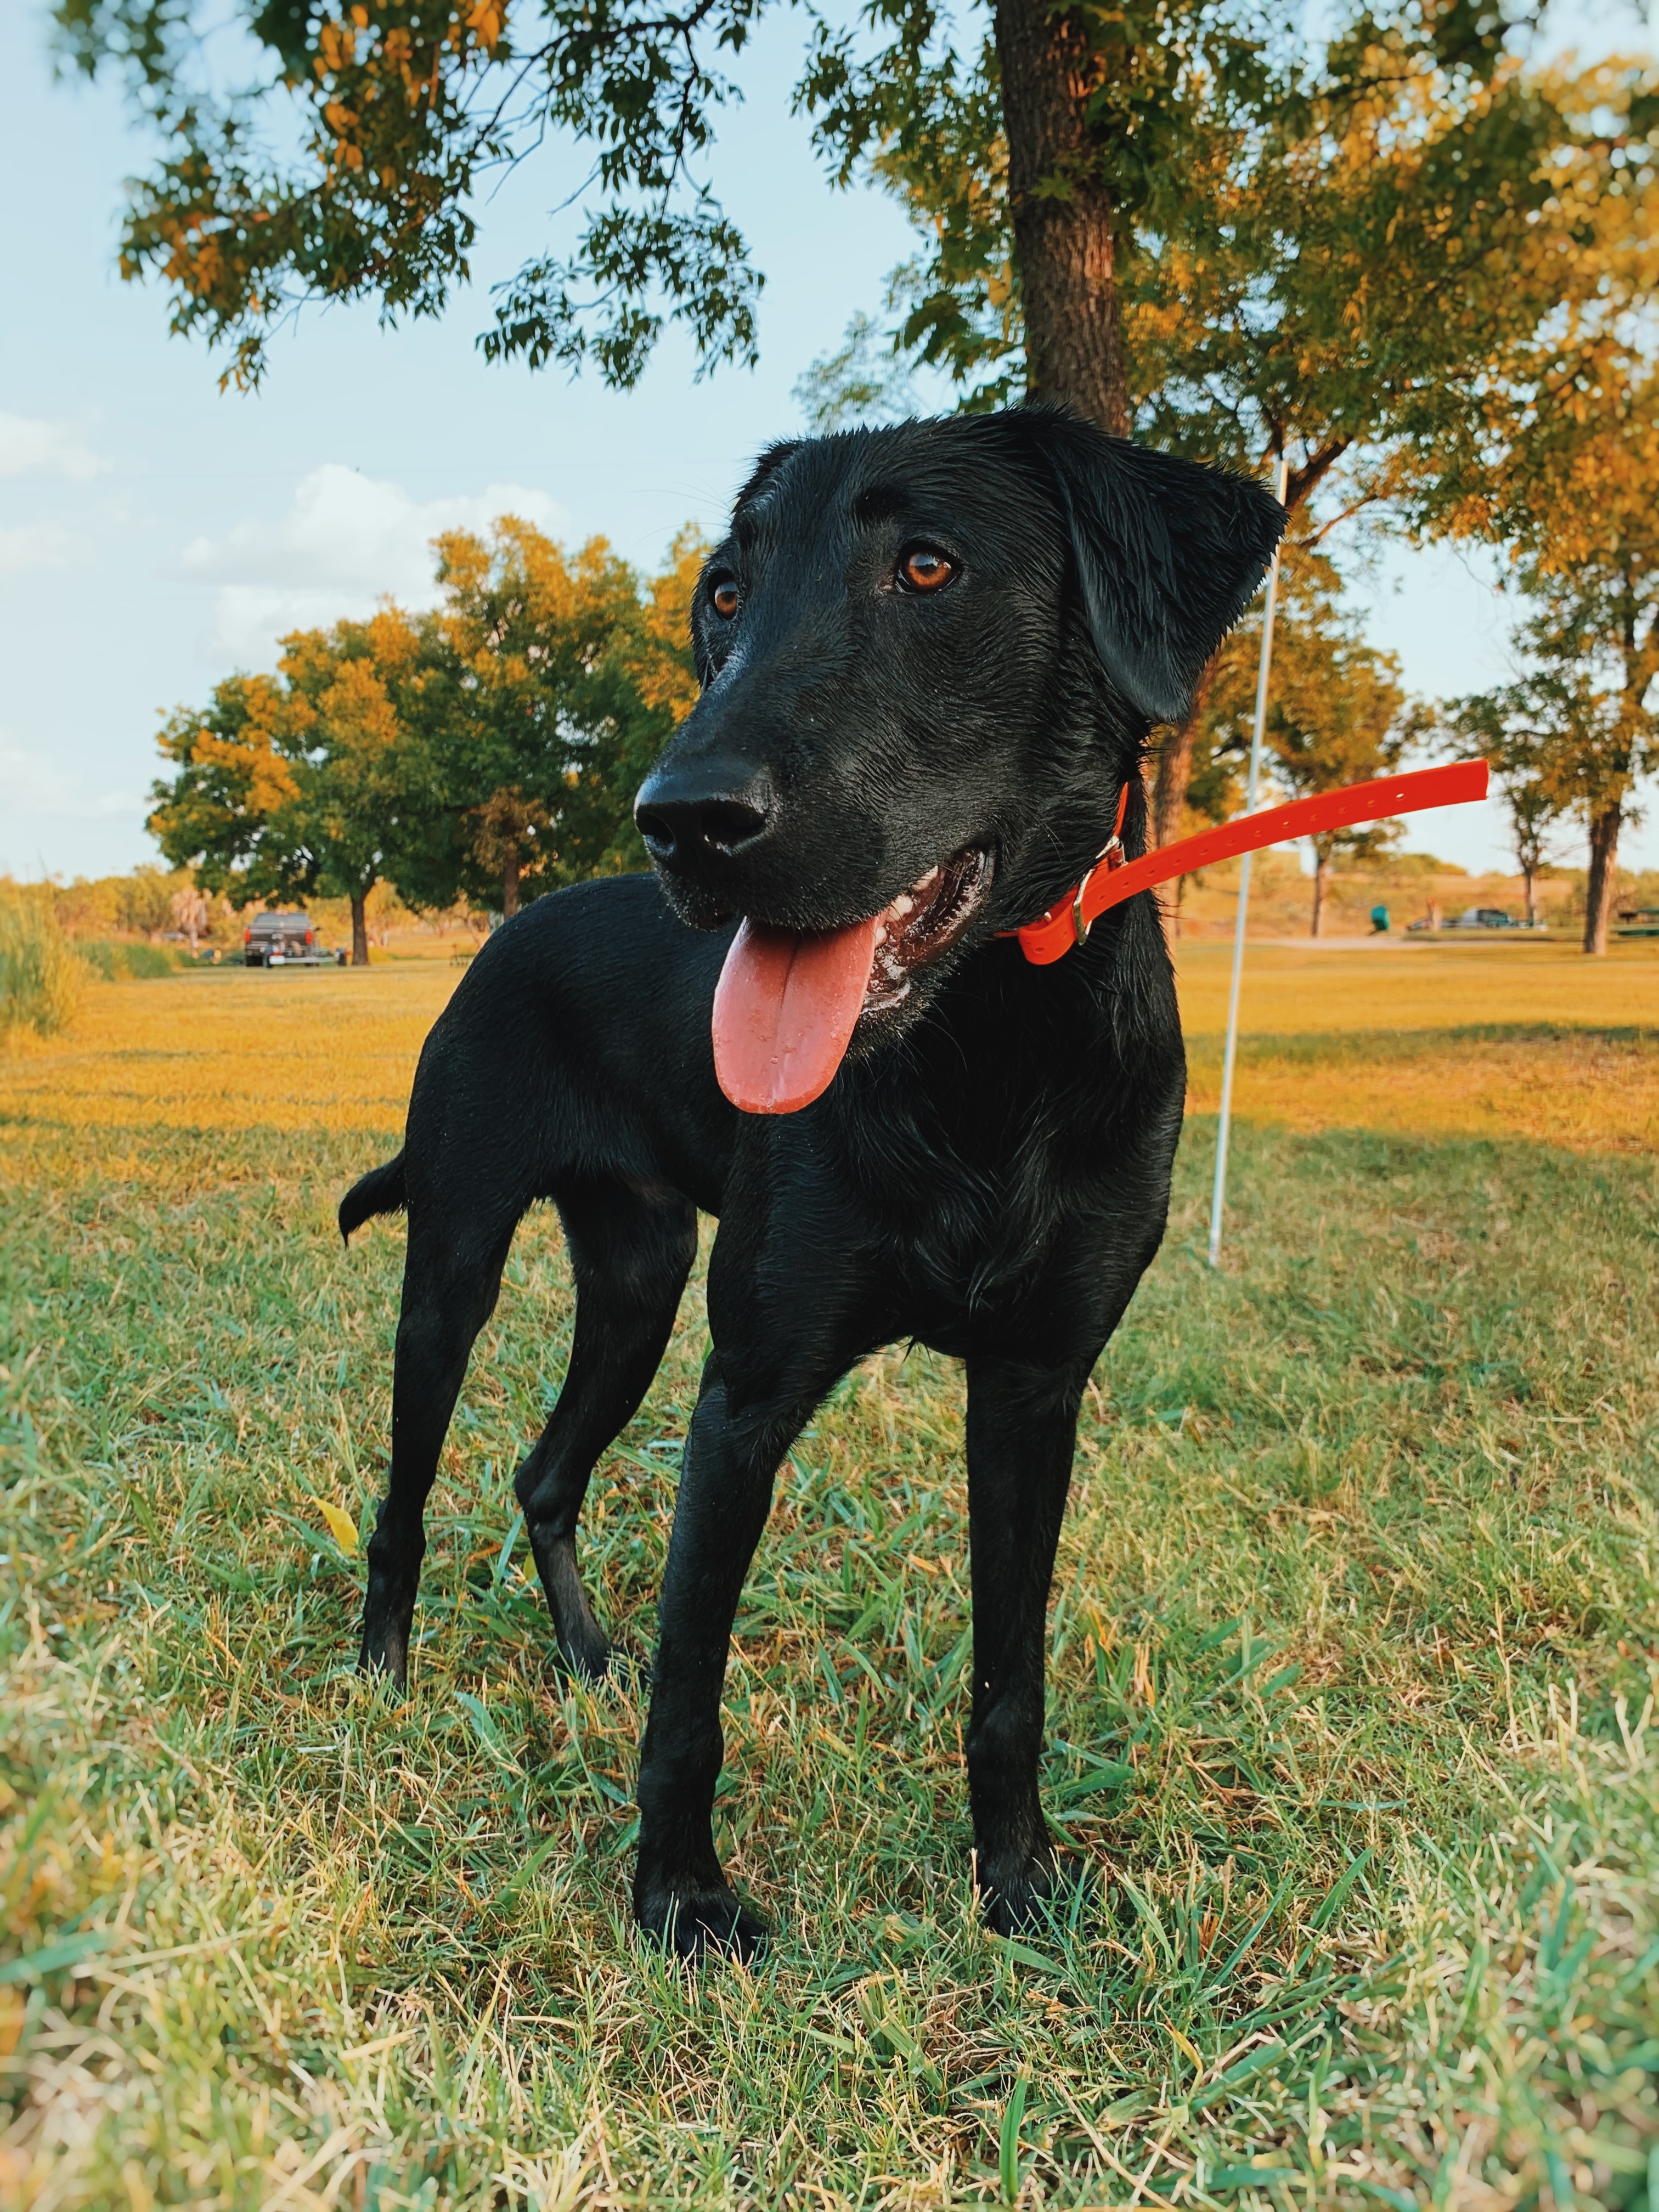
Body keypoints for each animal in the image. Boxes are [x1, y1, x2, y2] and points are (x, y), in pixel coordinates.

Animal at [340, 407, 1283, 1964]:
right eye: (726, 593)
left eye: (929, 567)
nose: (683, 821)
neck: (983, 1051)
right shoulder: (748, 1394)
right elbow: (694, 1692)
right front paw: (678, 1899)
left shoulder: (1035, 1389)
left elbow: (1011, 1681)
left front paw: (1018, 1884)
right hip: (457, 1272)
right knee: (407, 1492)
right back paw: (381, 1670)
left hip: (640, 1286)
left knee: (545, 1473)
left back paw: (582, 1654)